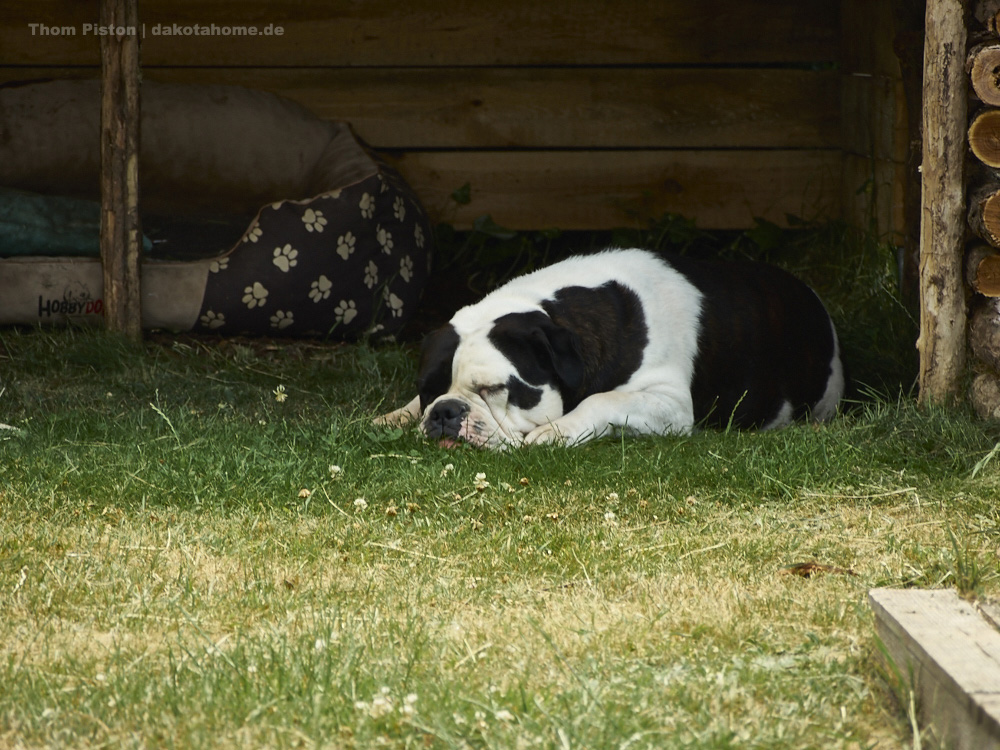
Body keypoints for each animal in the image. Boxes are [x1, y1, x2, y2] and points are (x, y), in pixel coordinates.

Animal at [376, 250, 844, 450]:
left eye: (493, 389)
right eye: (428, 389)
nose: (444, 412)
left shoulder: (669, 403)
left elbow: (603, 400)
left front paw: (557, 431)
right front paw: (394, 416)